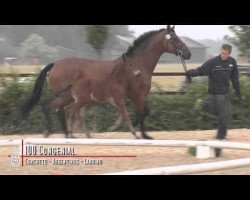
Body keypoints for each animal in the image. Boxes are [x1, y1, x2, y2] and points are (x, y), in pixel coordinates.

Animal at [21, 25, 191, 139]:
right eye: (175, 38)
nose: (188, 54)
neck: (137, 65)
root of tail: (54, 64)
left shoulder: (138, 95)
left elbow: (142, 112)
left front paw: (141, 133)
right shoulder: (137, 95)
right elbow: (140, 112)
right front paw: (137, 132)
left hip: (73, 97)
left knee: (70, 111)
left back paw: (74, 134)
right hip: (65, 95)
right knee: (62, 110)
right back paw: (63, 133)